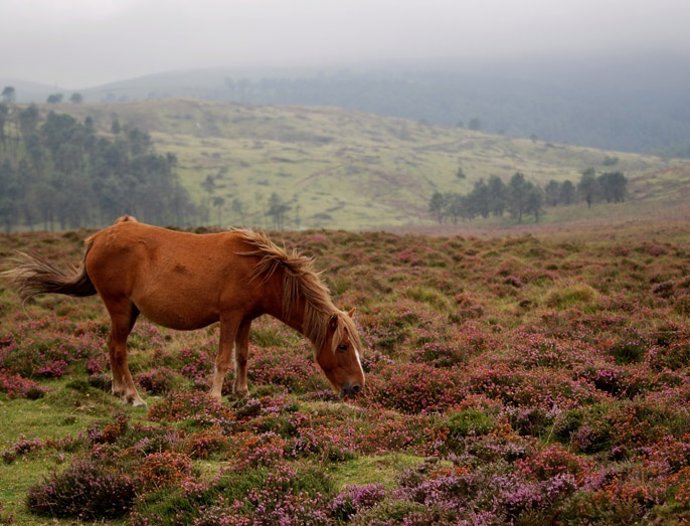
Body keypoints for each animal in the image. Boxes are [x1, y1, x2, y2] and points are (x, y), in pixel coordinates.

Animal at [3, 216, 365, 406]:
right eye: (343, 347)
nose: (357, 388)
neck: (260, 270)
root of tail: (98, 238)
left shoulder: (246, 318)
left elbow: (243, 356)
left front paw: (243, 394)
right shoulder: (230, 316)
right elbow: (223, 358)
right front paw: (215, 397)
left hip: (128, 312)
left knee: (110, 347)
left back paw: (119, 391)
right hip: (120, 307)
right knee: (119, 350)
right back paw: (134, 396)